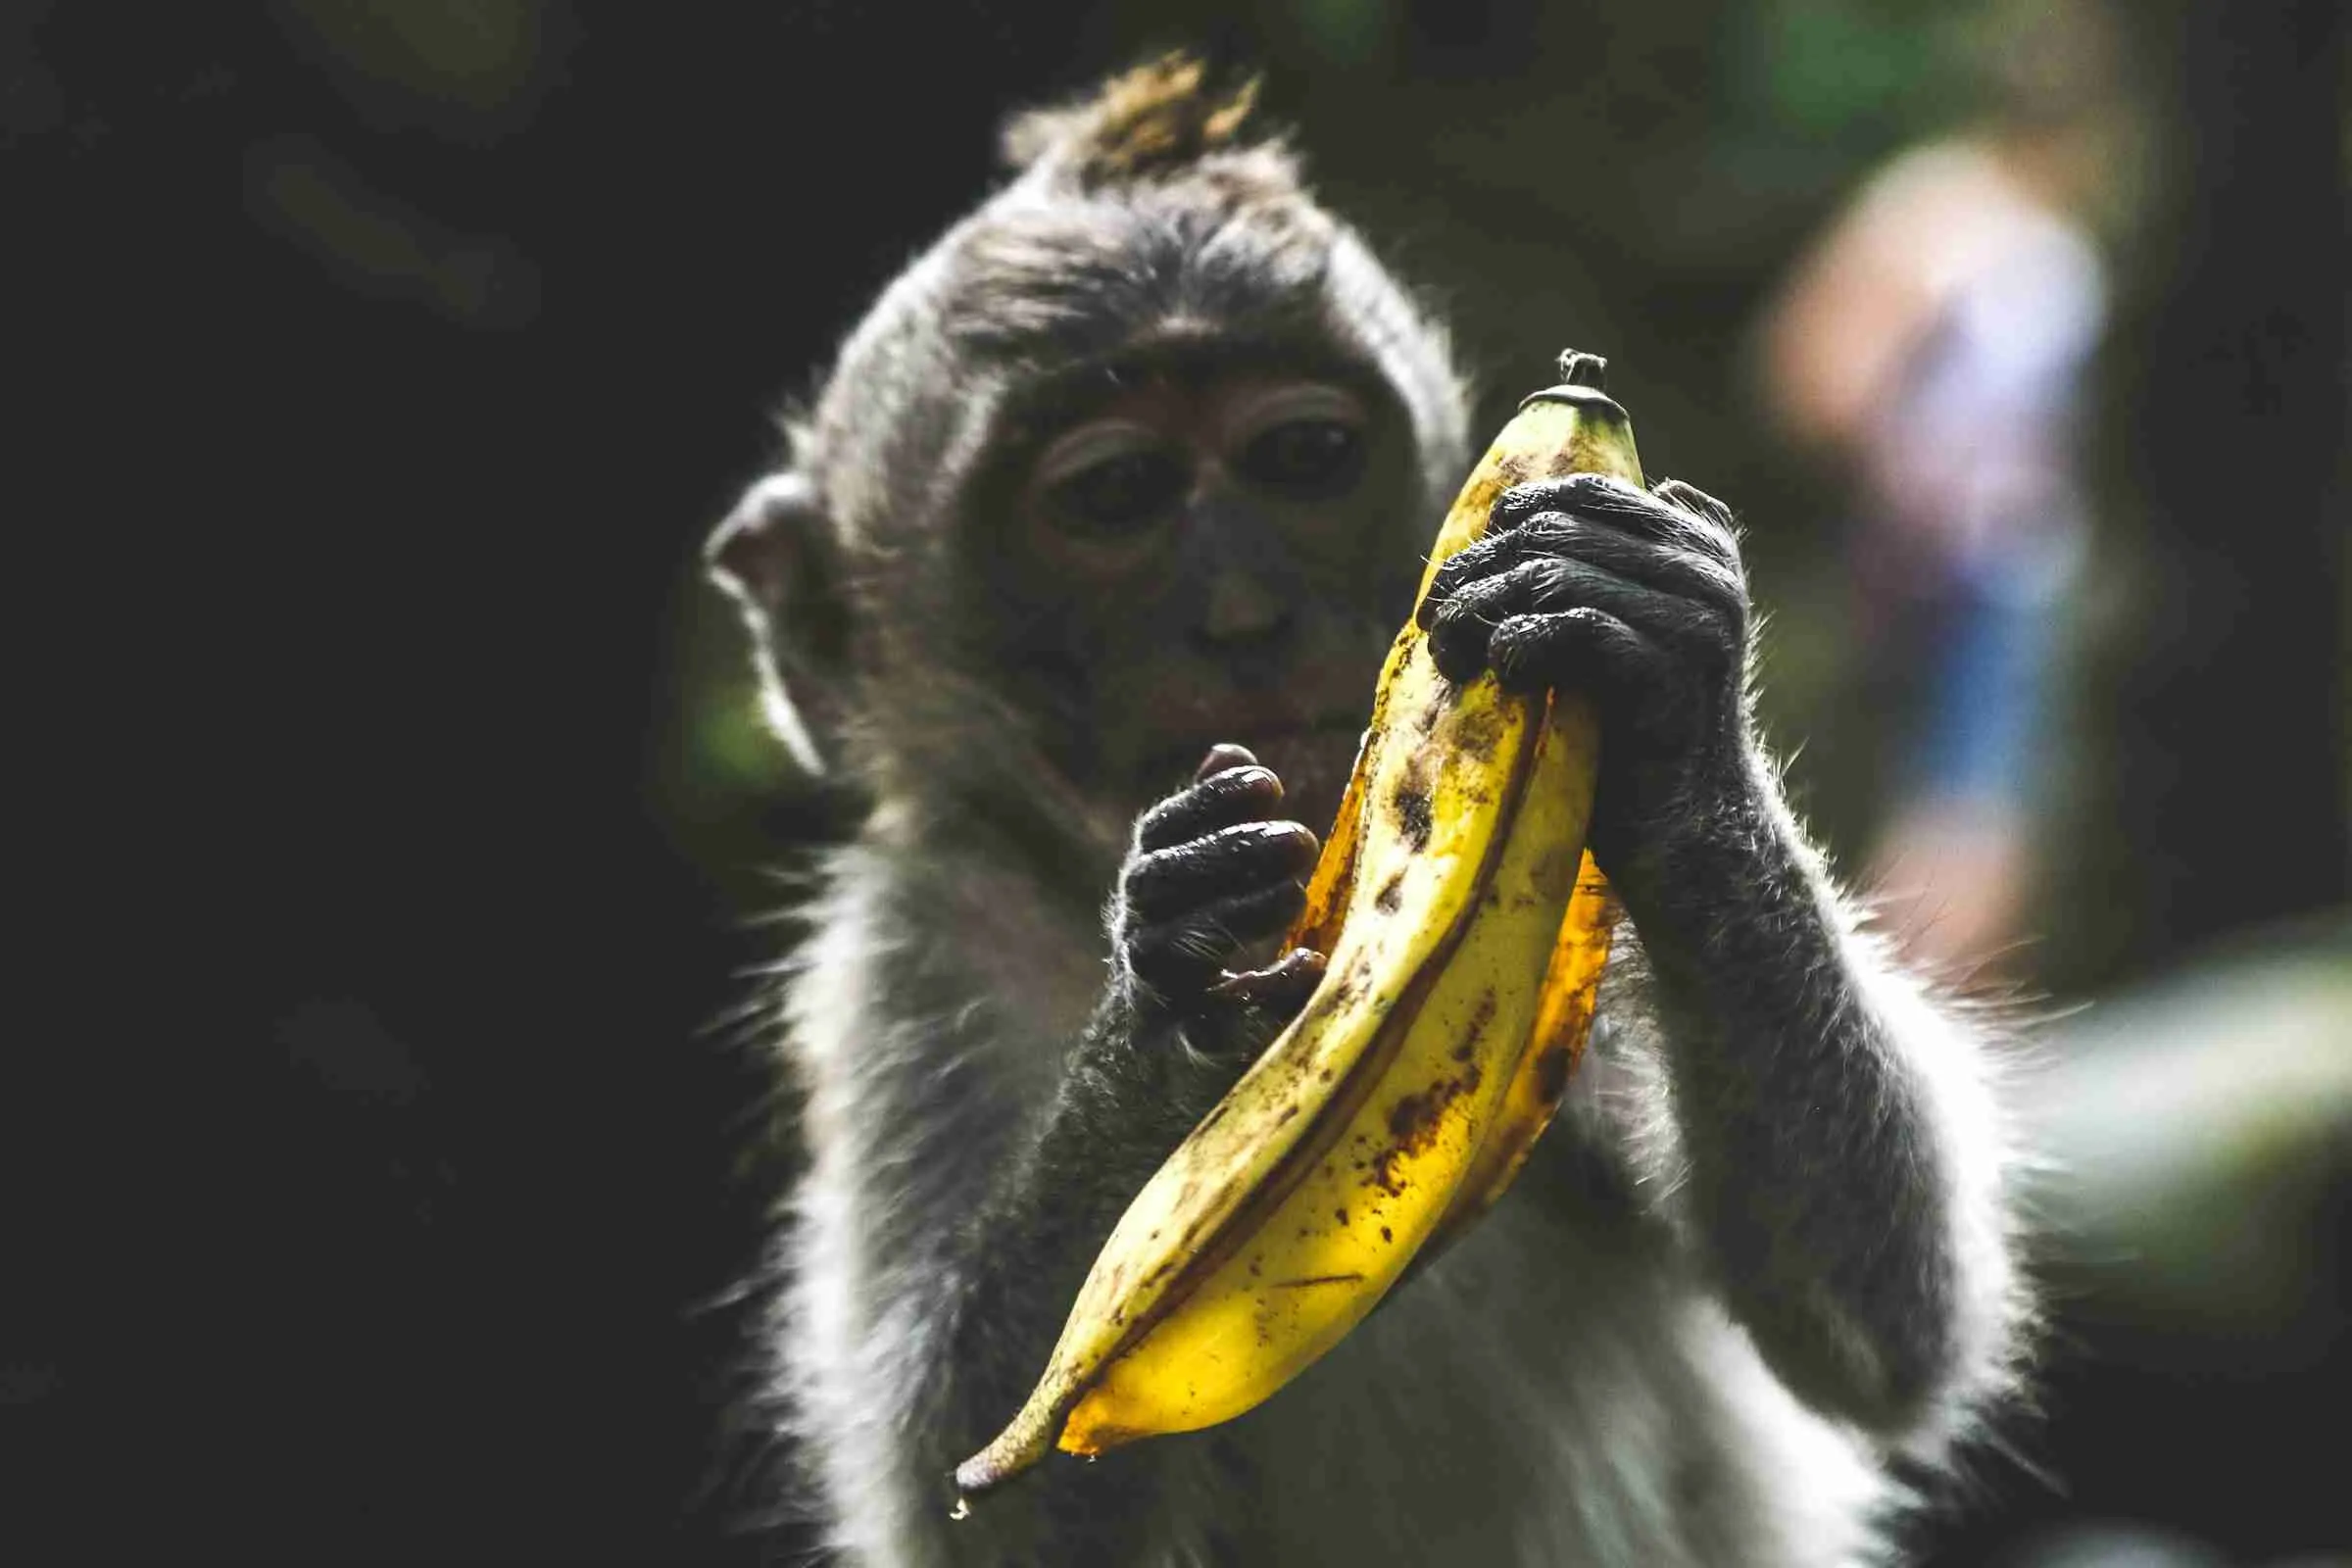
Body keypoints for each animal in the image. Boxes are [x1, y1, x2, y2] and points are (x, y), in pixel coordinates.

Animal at [704, 58, 2028, 1568]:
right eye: (1115, 495)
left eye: (1303, 457)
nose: (1245, 611)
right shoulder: (905, 961)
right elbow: (959, 1499)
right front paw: (1171, 989)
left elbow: (1878, 1325)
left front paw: (1681, 722)